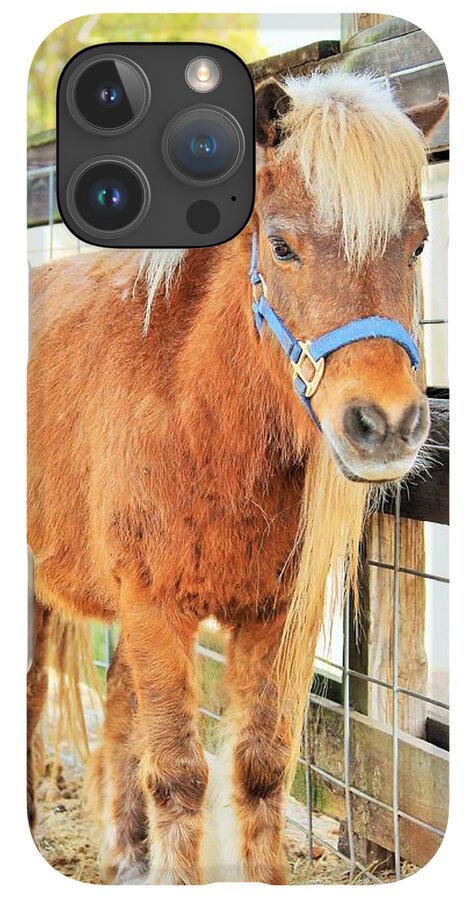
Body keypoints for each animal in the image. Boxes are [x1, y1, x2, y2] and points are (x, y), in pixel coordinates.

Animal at [27, 70, 448, 884]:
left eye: (418, 245)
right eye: (281, 246)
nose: (385, 424)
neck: (198, 418)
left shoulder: (276, 616)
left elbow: (259, 768)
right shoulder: (155, 608)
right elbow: (180, 774)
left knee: (119, 710)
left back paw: (127, 857)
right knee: (35, 693)